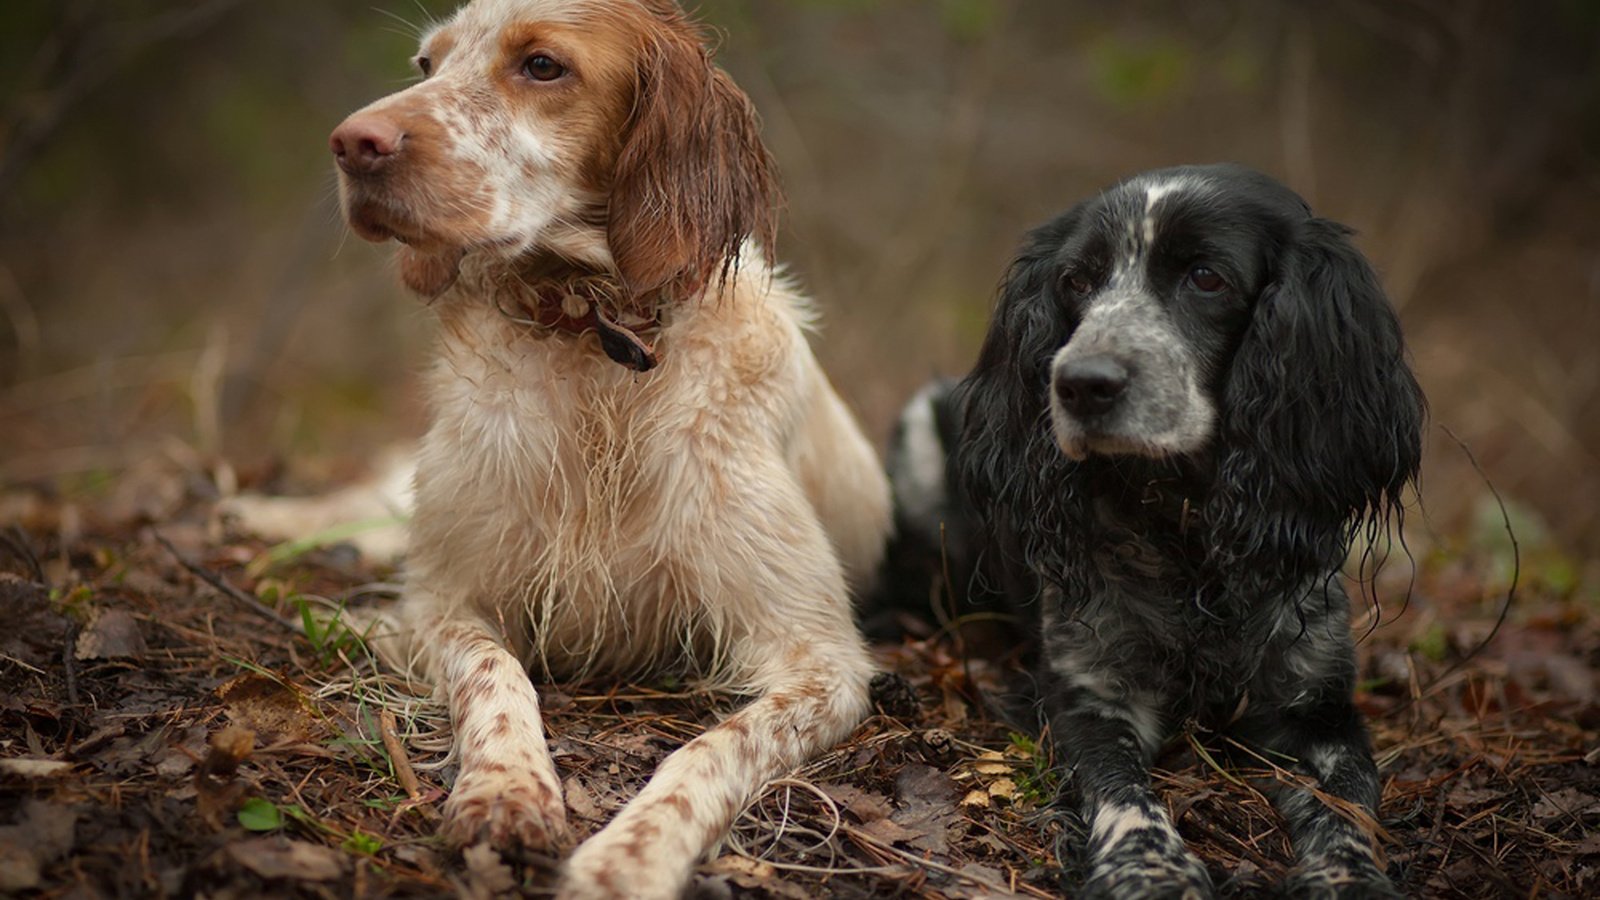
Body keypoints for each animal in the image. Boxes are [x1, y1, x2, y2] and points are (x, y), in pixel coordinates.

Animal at [233, 3, 896, 890]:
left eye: (542, 65)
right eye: (427, 64)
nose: (350, 142)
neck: (592, 338)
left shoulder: (821, 659)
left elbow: (707, 750)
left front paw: (628, 859)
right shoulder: (443, 598)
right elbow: (497, 676)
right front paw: (505, 791)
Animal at [889, 164, 1427, 890]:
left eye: (1205, 277)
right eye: (1076, 281)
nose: (1079, 384)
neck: (1187, 536)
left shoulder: (1318, 706)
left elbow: (1350, 808)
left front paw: (1349, 879)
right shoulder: (1089, 693)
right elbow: (1121, 792)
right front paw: (1151, 871)